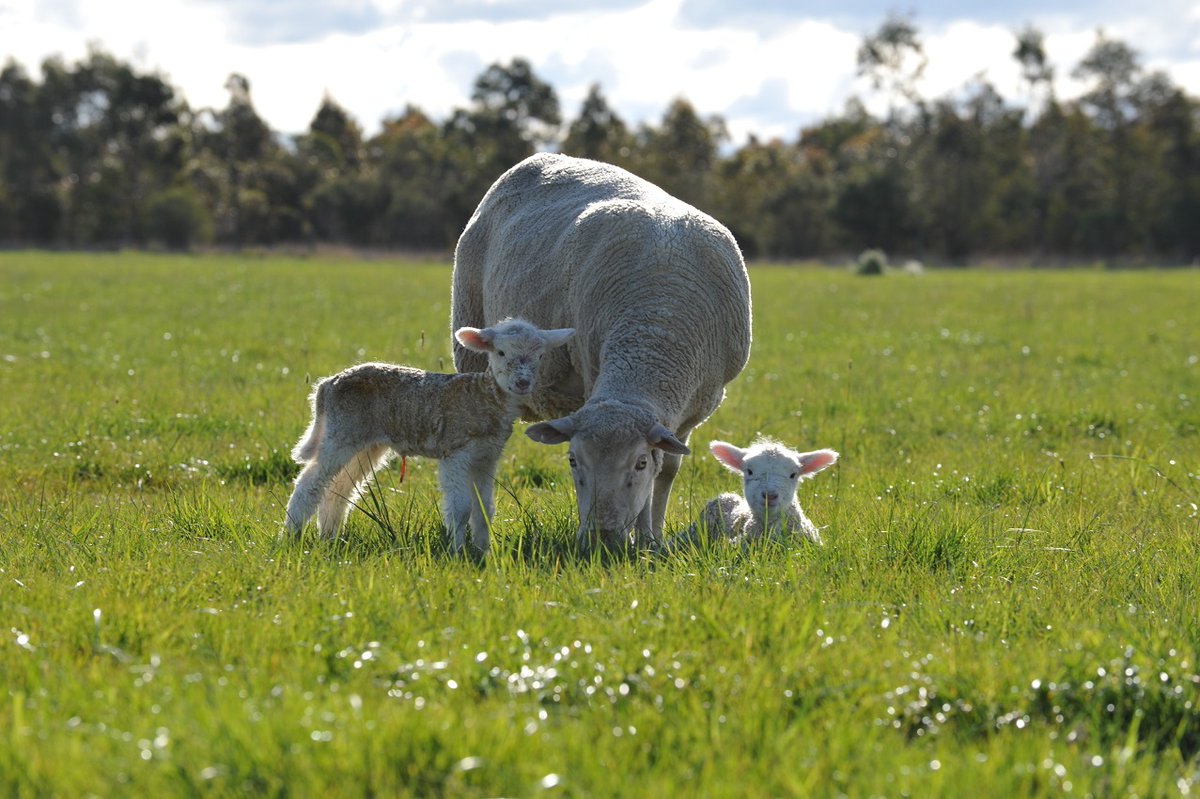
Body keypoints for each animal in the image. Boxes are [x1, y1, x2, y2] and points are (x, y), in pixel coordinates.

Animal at [283, 318, 574, 552]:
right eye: (501, 352)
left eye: (539, 356)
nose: (523, 383)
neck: (485, 397)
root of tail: (327, 384)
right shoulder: (455, 452)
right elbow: (460, 508)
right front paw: (458, 551)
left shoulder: (486, 456)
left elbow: (484, 509)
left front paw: (483, 551)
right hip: (340, 433)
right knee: (309, 484)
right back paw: (291, 536)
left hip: (365, 443)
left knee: (339, 489)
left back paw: (330, 538)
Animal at [450, 153, 752, 552]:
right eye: (573, 461)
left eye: (639, 464)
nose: (601, 537)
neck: (655, 327)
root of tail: (540, 157)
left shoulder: (696, 406)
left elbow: (668, 469)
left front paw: (651, 538)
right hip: (469, 347)